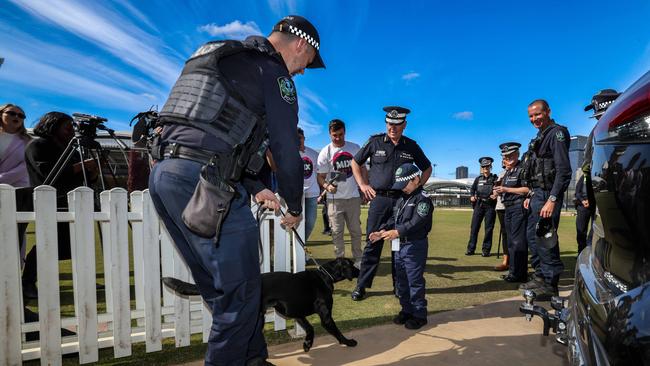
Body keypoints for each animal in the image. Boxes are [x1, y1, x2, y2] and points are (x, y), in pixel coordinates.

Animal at [159, 256, 356, 350]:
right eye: (352, 265)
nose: (359, 270)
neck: (325, 275)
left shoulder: (298, 314)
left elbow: (310, 329)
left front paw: (307, 344)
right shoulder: (326, 316)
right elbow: (337, 332)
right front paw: (348, 342)